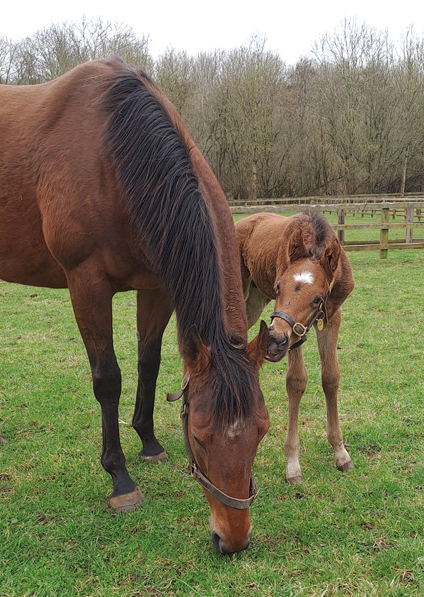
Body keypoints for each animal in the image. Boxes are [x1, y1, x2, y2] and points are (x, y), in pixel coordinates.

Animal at [0, 58, 270, 552]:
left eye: (261, 430)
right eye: (199, 437)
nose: (233, 539)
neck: (113, 154)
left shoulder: (158, 287)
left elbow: (149, 361)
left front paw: (148, 441)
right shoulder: (86, 284)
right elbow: (108, 379)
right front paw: (120, 477)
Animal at [235, 213, 354, 484]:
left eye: (318, 298)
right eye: (279, 286)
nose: (274, 339)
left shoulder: (331, 316)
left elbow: (330, 378)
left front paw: (340, 453)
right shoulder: (292, 334)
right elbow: (296, 381)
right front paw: (292, 464)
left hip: (255, 302)